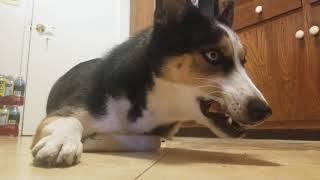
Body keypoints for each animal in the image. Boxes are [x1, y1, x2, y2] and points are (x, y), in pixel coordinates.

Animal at [31, 0, 272, 167]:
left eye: (243, 61)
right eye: (212, 55)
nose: (265, 110)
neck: (152, 99)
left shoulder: (154, 133)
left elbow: (150, 141)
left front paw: (94, 140)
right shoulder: (65, 112)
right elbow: (70, 120)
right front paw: (61, 141)